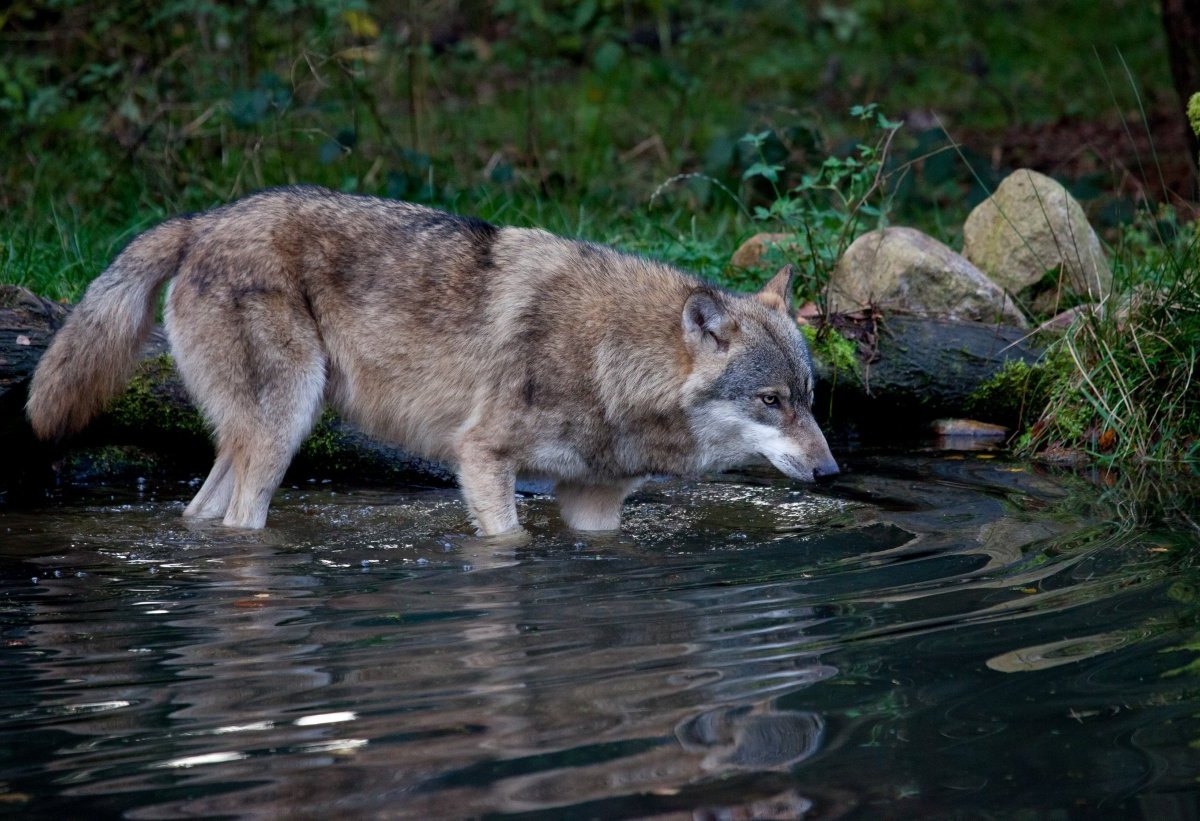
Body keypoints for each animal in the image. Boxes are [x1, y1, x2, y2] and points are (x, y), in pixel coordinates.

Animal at [25, 184, 835, 532]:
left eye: (809, 398)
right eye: (771, 402)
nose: (832, 471)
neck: (613, 360)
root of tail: (203, 220)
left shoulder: (594, 500)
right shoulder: (480, 458)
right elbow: (505, 540)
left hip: (263, 433)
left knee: (199, 512)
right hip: (283, 429)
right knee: (237, 521)